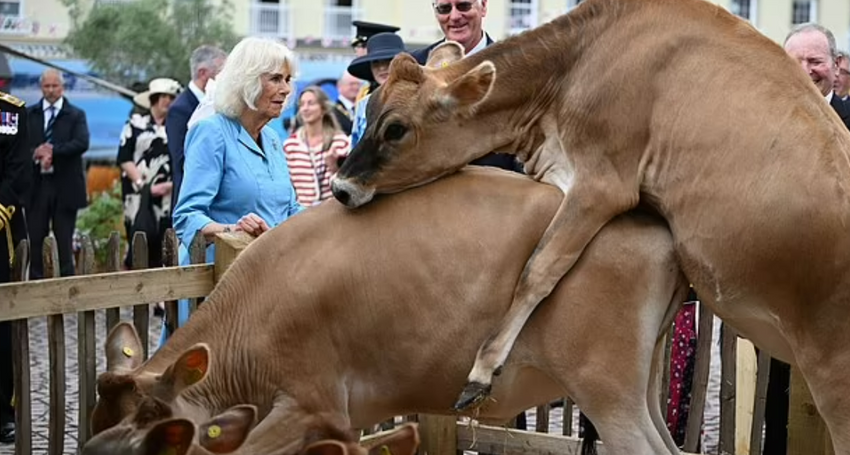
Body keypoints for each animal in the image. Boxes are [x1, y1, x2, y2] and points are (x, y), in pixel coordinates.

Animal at [330, 0, 850, 448]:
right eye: (369, 110)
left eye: (396, 128)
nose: (339, 186)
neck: (577, 62)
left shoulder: (603, 182)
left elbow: (538, 269)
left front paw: (481, 370)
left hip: (833, 375)